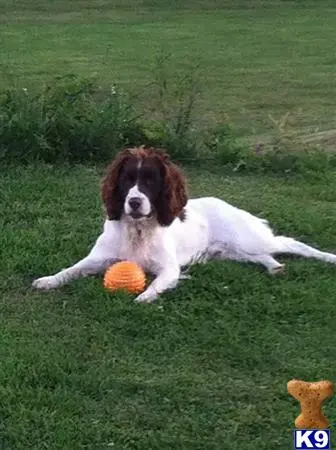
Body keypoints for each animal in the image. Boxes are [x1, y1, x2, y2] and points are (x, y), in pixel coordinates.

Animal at [32, 147, 336, 302]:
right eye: (127, 180)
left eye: (151, 181)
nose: (134, 202)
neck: (137, 230)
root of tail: (229, 205)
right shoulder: (97, 259)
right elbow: (70, 270)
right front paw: (48, 280)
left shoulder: (169, 269)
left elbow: (156, 284)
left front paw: (144, 297)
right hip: (230, 252)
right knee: (263, 256)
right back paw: (275, 267)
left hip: (248, 238)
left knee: (290, 244)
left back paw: (328, 258)